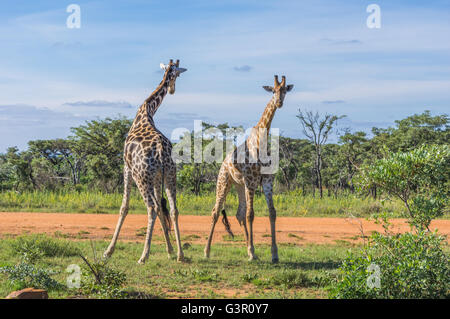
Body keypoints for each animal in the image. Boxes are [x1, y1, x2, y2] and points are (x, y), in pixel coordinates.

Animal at [104, 58, 187, 264]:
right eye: (176, 73)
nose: (172, 90)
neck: (146, 112)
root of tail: (160, 150)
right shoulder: (157, 176)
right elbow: (163, 208)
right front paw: (170, 250)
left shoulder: (126, 167)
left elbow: (124, 207)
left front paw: (108, 251)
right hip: (170, 175)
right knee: (172, 209)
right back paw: (181, 255)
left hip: (141, 177)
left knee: (151, 207)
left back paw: (144, 255)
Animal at [203, 76, 292, 264]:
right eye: (273, 90)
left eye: (284, 90)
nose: (279, 102)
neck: (261, 141)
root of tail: (223, 163)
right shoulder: (251, 181)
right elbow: (252, 214)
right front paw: (252, 251)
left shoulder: (267, 181)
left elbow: (272, 213)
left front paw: (273, 254)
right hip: (224, 182)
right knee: (216, 212)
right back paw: (207, 251)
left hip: (239, 185)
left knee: (239, 214)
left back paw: (249, 251)